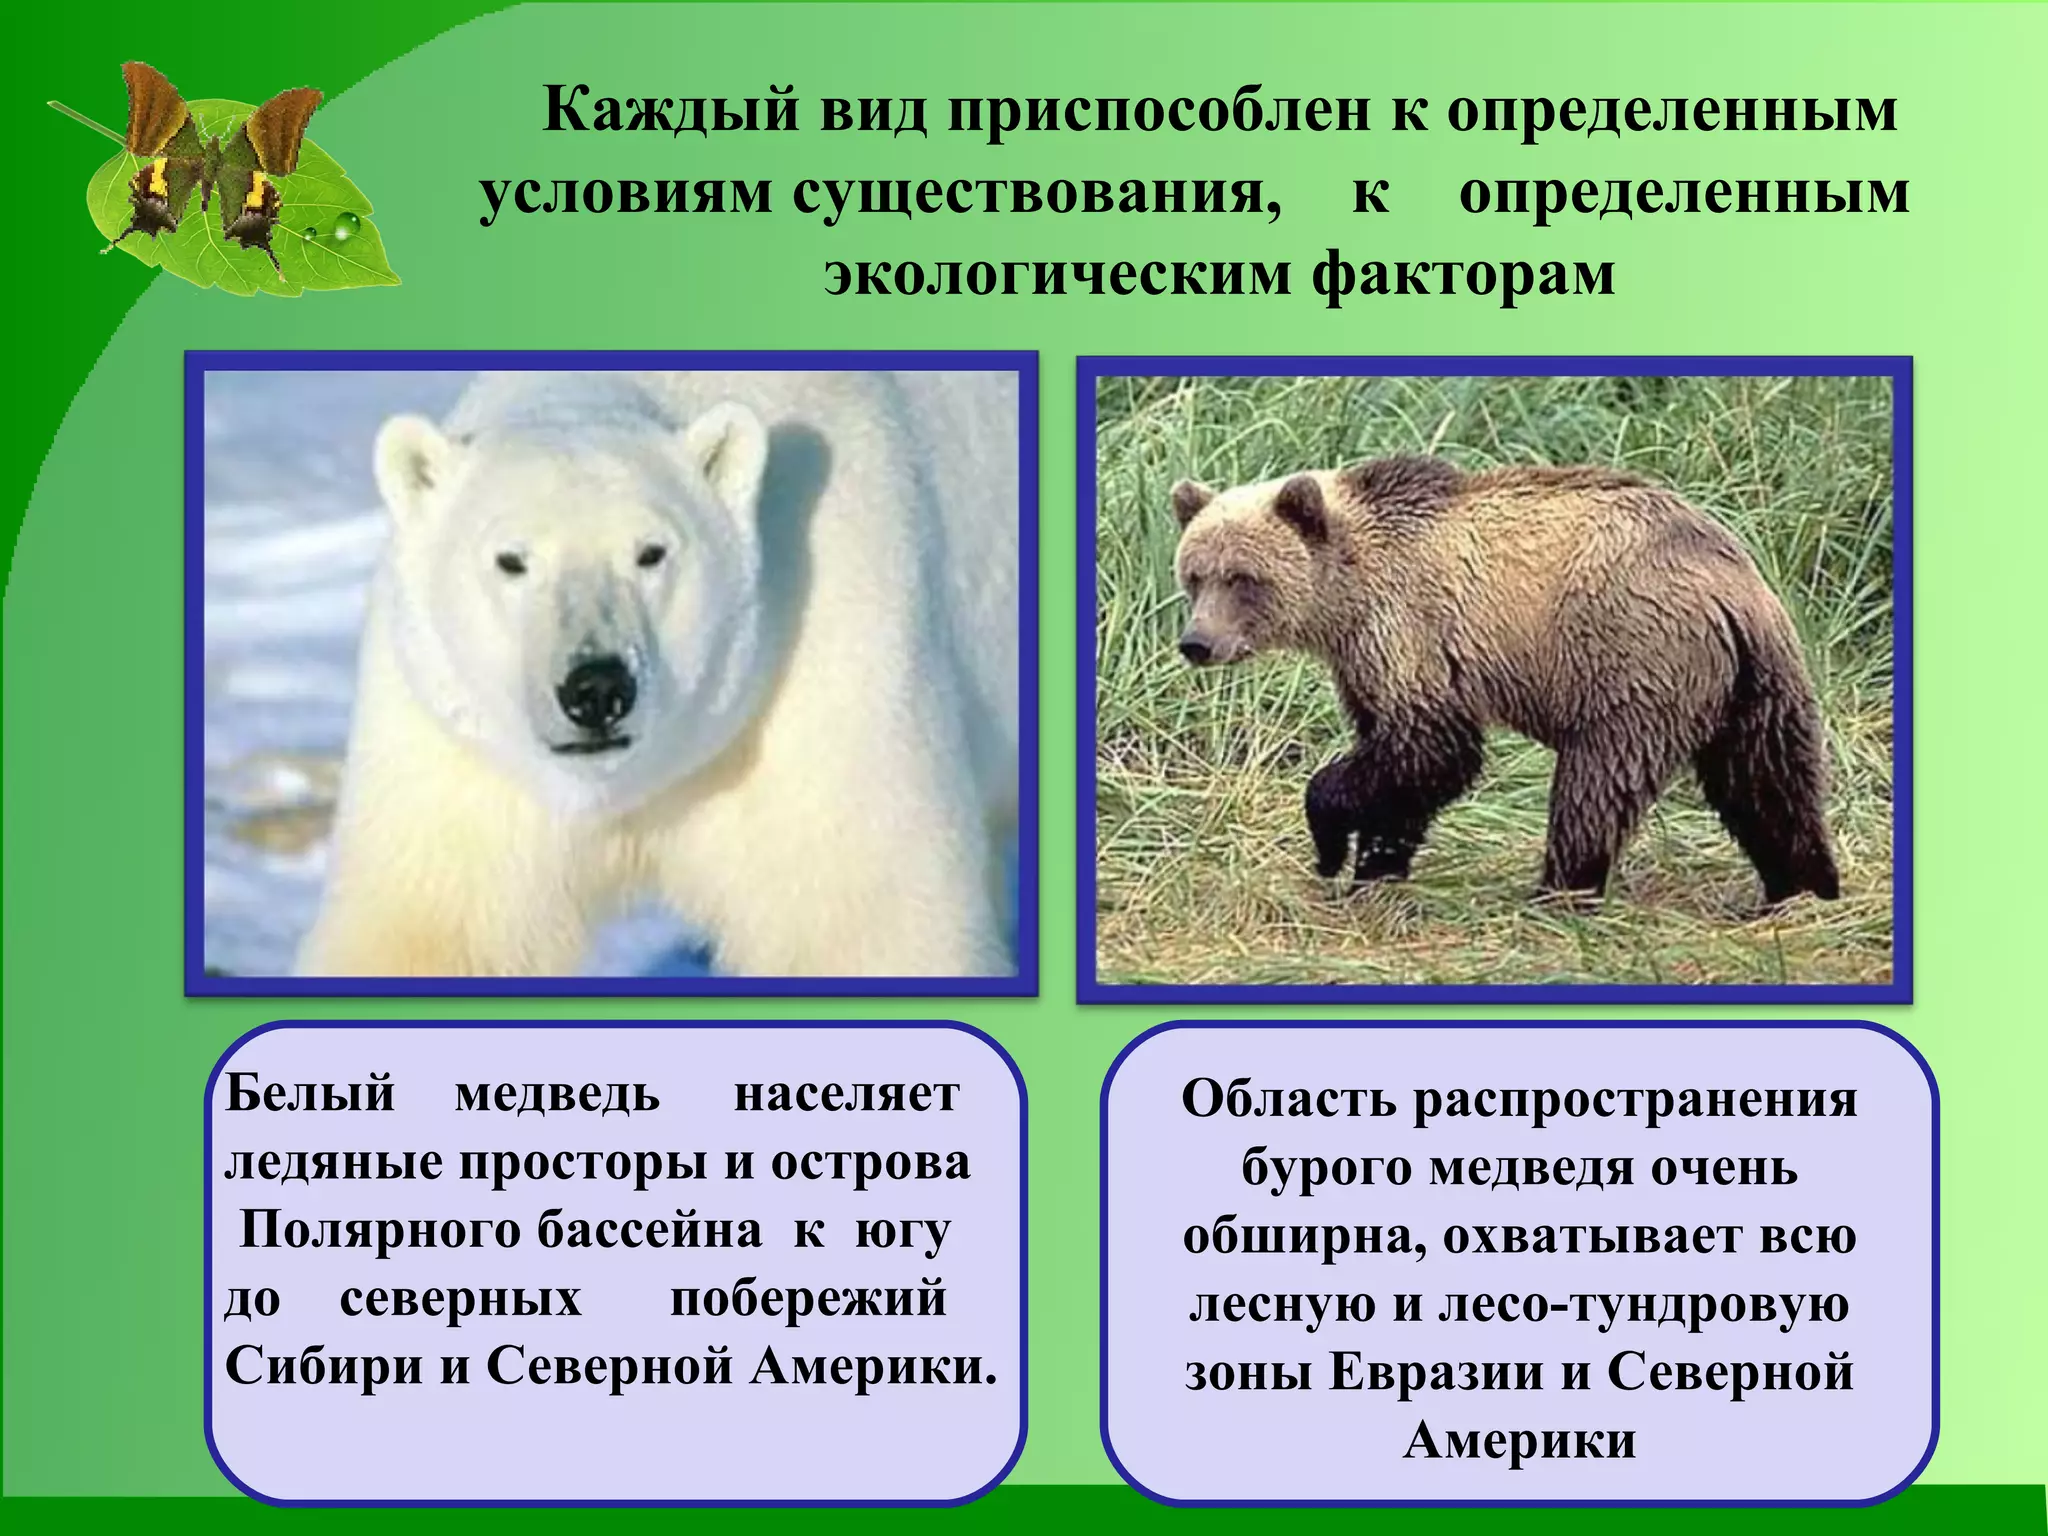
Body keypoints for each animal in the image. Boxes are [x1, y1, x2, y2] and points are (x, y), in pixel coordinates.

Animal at [295, 369, 1019, 978]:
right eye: (510, 560)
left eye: (651, 552)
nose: (596, 690)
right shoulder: (455, 745)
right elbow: (430, 929)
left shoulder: (826, 656)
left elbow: (868, 925)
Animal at [1169, 456, 1841, 906]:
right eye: (1195, 574)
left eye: (1243, 577)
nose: (1197, 643)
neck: (1347, 596)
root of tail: (1734, 586)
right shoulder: (1364, 664)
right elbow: (1398, 764)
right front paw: (1377, 867)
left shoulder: (1411, 631)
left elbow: (1430, 750)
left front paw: (1333, 845)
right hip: (1757, 682)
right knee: (1769, 780)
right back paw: (1803, 886)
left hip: (1634, 661)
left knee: (1595, 783)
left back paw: (1559, 891)